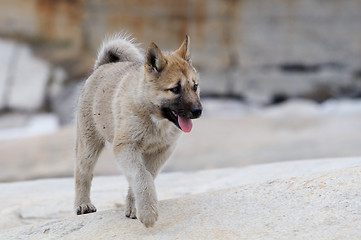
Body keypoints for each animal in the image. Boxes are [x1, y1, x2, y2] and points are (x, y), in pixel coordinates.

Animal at [73, 33, 202, 227]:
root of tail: (102, 66)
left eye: (195, 86)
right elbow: (142, 177)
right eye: (175, 89)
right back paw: (83, 204)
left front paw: (136, 208)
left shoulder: (160, 152)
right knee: (82, 173)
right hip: (89, 144)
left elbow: (145, 176)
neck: (153, 117)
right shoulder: (126, 148)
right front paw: (148, 212)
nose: (198, 111)